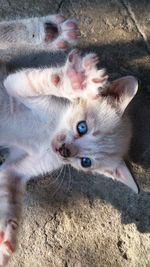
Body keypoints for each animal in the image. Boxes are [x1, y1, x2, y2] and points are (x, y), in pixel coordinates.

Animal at [0, 14, 138, 266]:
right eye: (82, 127)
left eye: (85, 162)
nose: (63, 151)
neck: (47, 136)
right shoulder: (14, 83)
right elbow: (39, 80)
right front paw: (76, 82)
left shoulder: (14, 170)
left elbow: (9, 199)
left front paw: (6, 238)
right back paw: (50, 32)